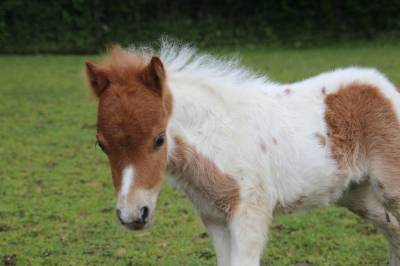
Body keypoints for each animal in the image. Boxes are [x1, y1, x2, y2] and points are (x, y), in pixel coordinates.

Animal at [83, 40, 400, 264]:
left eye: (159, 139)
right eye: (102, 144)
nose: (132, 215)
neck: (218, 136)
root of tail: (385, 89)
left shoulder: (250, 215)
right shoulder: (213, 217)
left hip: (389, 188)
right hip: (357, 194)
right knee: (393, 230)